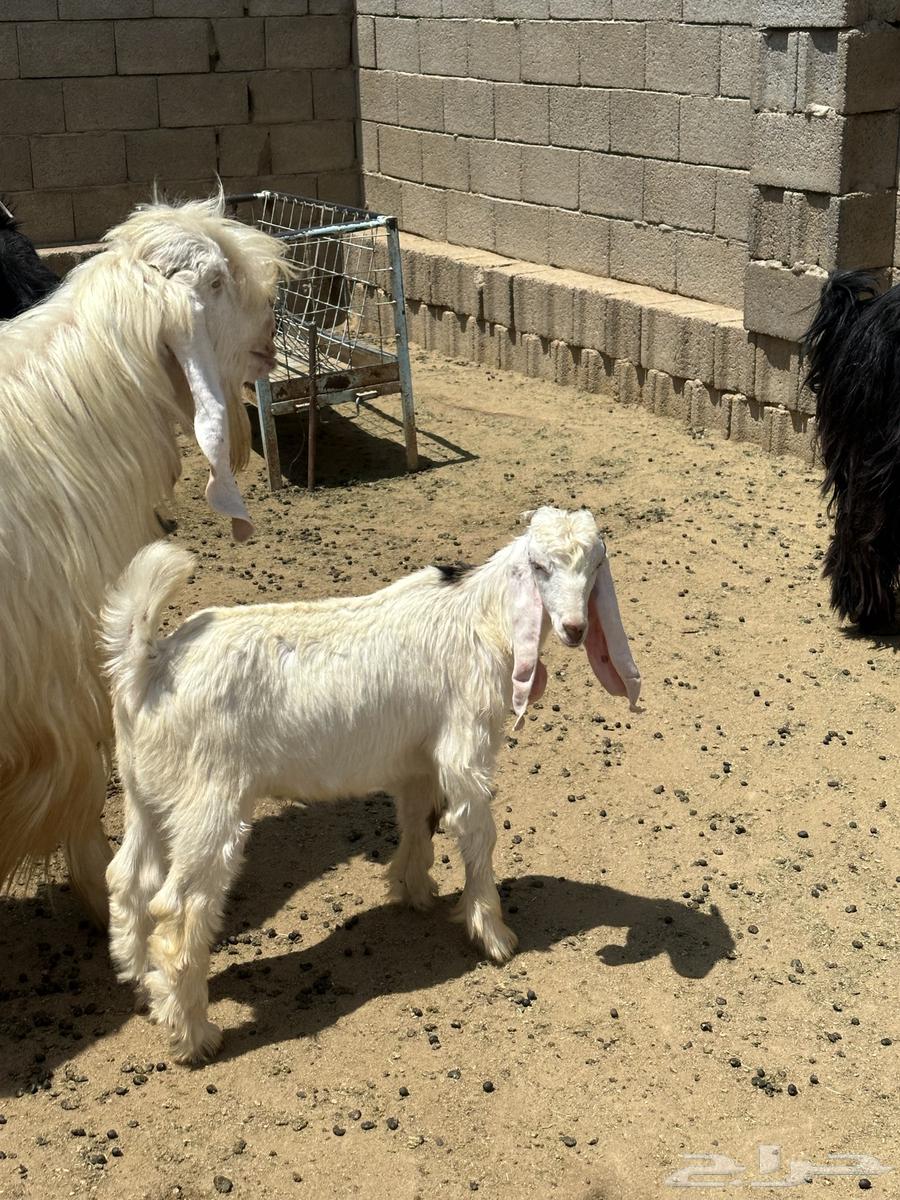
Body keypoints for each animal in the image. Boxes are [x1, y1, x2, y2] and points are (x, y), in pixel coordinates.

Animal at [102, 506, 642, 1063]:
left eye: (596, 565)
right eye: (538, 567)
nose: (575, 628)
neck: (478, 615)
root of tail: (148, 665)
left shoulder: (417, 759)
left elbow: (417, 818)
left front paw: (414, 887)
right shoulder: (464, 746)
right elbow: (477, 833)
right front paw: (493, 933)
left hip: (148, 792)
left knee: (127, 878)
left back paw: (141, 981)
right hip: (209, 799)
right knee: (177, 908)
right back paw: (194, 1035)